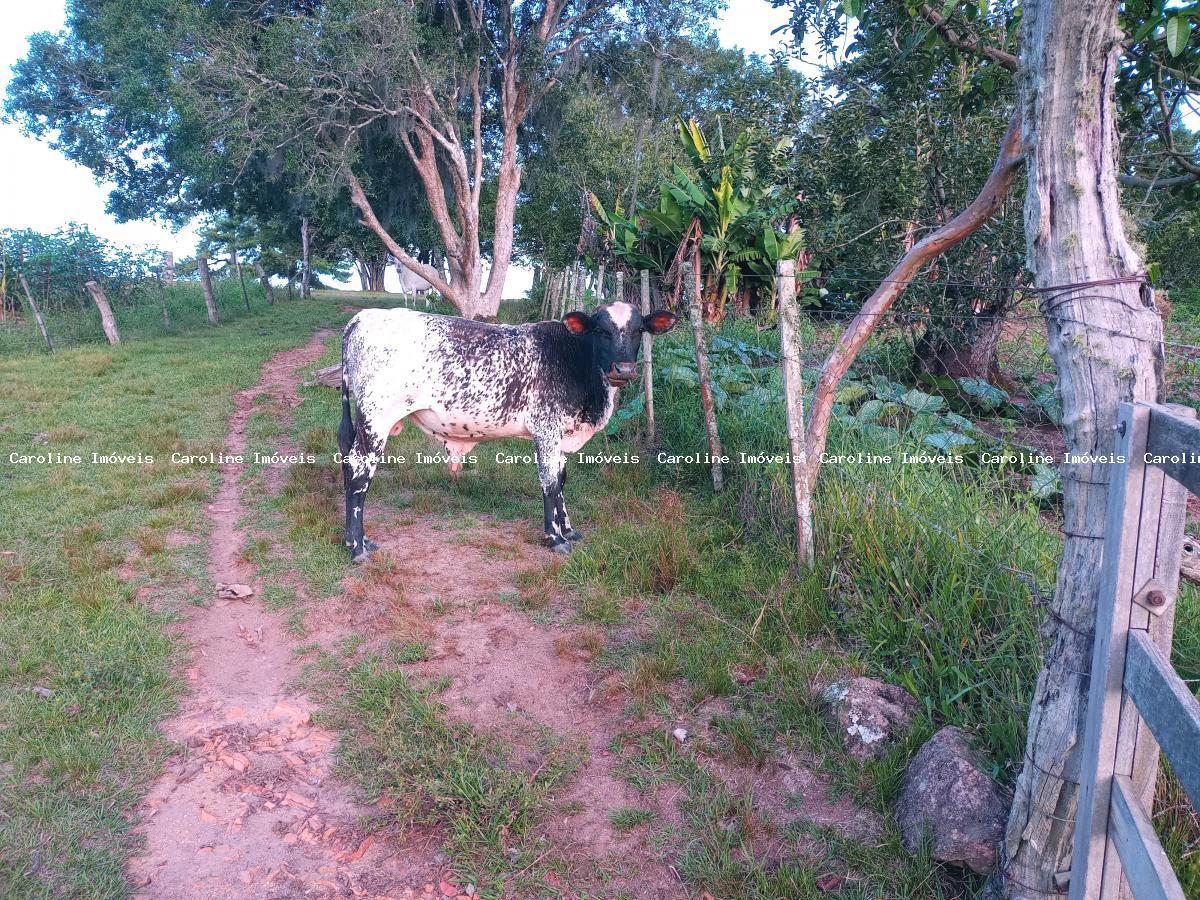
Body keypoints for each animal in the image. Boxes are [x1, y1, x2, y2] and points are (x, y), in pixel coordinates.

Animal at [338, 301, 676, 564]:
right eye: (602, 331)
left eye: (639, 330)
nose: (624, 369)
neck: (575, 359)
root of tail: (363, 317)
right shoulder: (546, 429)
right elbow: (550, 483)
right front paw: (555, 537)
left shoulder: (562, 435)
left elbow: (562, 479)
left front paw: (568, 529)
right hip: (376, 420)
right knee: (359, 474)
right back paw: (356, 546)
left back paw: (360, 541)